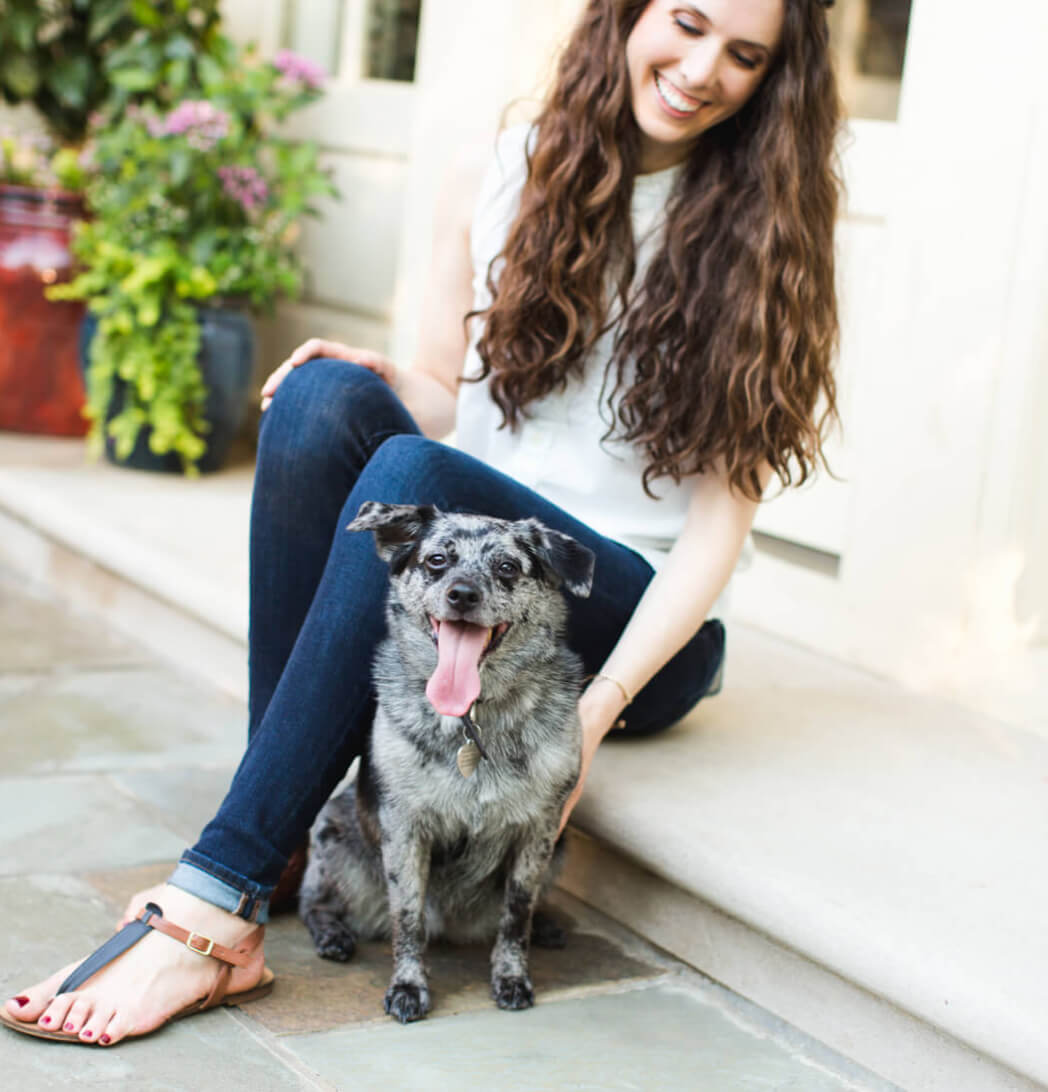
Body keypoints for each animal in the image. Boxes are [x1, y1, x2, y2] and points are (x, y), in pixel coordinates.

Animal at [301, 502, 598, 1022]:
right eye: (437, 560)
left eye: (507, 567)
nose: (462, 594)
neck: (472, 717)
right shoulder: (404, 829)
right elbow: (408, 916)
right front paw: (408, 985)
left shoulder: (540, 831)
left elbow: (516, 914)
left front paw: (511, 976)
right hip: (333, 829)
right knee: (313, 905)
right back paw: (333, 934)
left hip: (560, 846)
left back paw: (545, 925)